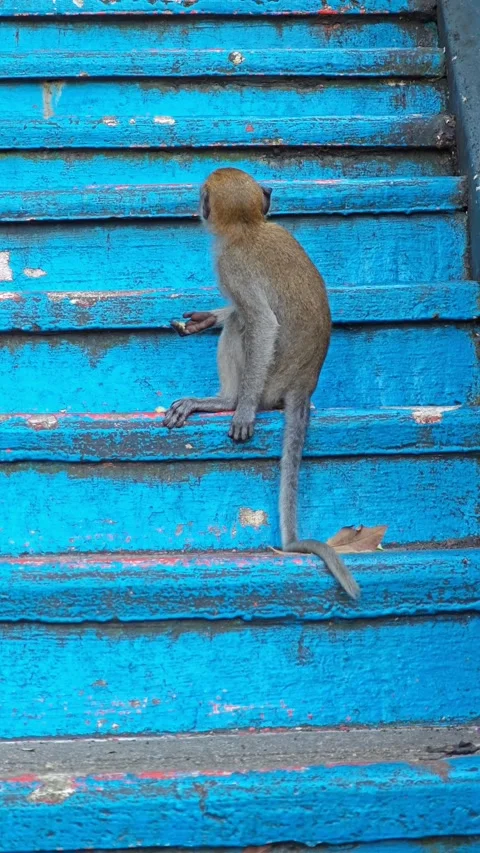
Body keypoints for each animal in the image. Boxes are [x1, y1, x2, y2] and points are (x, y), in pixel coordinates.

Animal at [163, 167, 360, 600]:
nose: (198, 206)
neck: (249, 227)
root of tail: (305, 383)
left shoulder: (231, 265)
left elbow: (262, 323)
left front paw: (244, 410)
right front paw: (208, 317)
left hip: (271, 380)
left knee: (244, 324)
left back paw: (224, 401)